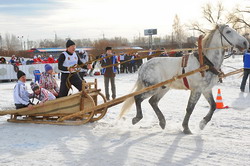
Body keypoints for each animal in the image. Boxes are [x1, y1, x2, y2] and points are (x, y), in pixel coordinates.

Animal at [119, 24, 248, 134]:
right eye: (228, 31)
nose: (245, 42)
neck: (205, 63)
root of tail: (143, 66)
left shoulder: (206, 90)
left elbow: (213, 106)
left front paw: (202, 123)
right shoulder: (196, 90)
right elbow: (190, 108)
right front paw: (186, 128)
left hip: (163, 88)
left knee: (153, 102)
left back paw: (162, 122)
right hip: (151, 87)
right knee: (138, 98)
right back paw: (137, 118)